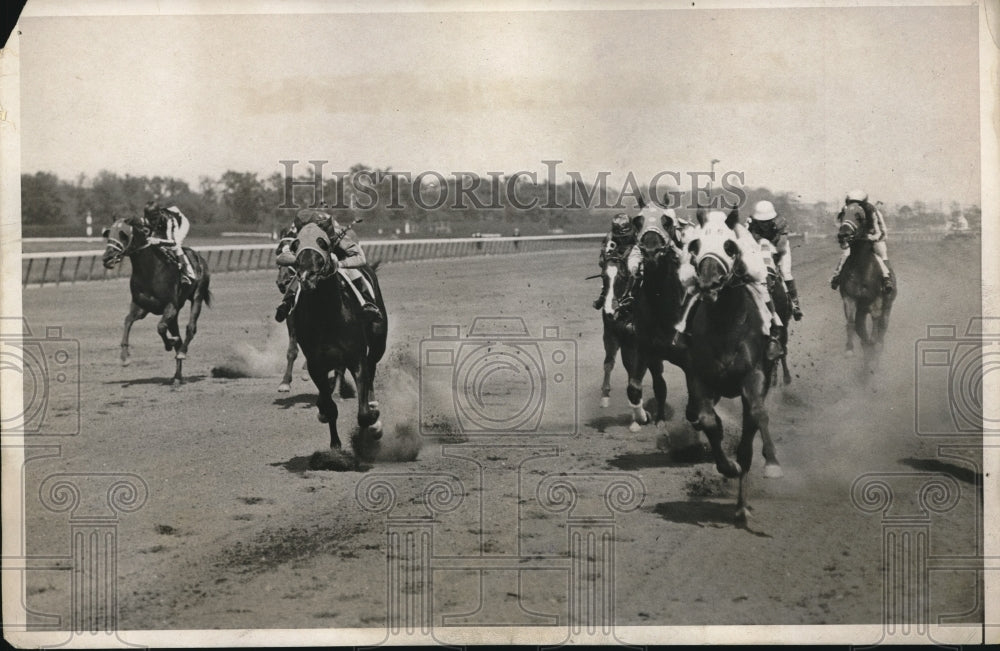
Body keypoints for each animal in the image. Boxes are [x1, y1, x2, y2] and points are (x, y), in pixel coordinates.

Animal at [101, 216, 211, 384]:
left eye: (123, 235)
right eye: (109, 234)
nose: (107, 258)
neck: (150, 271)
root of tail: (198, 257)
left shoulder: (170, 306)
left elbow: (160, 327)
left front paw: (169, 343)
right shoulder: (141, 307)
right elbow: (127, 321)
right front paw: (124, 357)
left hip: (197, 296)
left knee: (190, 329)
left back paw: (182, 352)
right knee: (178, 336)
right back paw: (177, 376)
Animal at [290, 224, 386, 454]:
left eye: (323, 243)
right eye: (296, 244)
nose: (306, 276)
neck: (327, 315)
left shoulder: (356, 358)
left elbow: (364, 414)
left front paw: (370, 430)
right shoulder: (316, 364)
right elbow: (329, 407)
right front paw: (335, 444)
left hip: (378, 343)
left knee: (371, 371)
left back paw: (374, 409)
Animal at [624, 214, 688, 436]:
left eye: (667, 222)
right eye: (638, 221)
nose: (651, 252)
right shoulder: (646, 349)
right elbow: (634, 387)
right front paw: (643, 417)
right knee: (660, 386)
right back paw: (658, 418)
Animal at [684, 209, 784, 524]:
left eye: (729, 246)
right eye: (695, 245)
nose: (708, 283)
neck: (725, 325)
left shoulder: (753, 377)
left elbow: (758, 414)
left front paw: (772, 462)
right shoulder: (699, 378)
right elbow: (708, 422)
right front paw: (727, 466)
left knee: (750, 432)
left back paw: (742, 504)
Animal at [836, 204, 900, 366]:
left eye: (859, 216)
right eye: (843, 214)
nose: (843, 235)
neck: (861, 267)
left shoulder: (877, 299)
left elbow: (876, 319)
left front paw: (874, 342)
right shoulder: (849, 297)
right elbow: (851, 322)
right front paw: (849, 349)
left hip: (888, 305)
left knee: (883, 324)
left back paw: (877, 345)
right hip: (862, 309)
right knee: (860, 325)